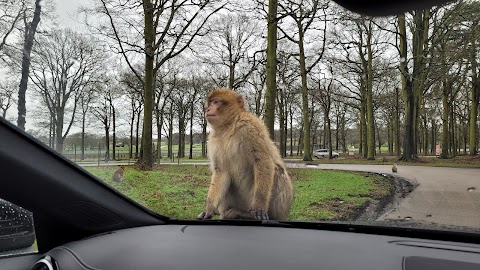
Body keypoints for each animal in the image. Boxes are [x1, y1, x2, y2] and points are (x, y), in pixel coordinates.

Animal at [197, 88, 294, 221]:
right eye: (210, 102)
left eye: (216, 102)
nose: (207, 109)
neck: (228, 125)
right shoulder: (213, 140)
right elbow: (221, 171)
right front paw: (209, 208)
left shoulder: (249, 125)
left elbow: (262, 161)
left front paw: (259, 206)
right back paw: (231, 213)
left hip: (276, 208)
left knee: (278, 171)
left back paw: (248, 214)